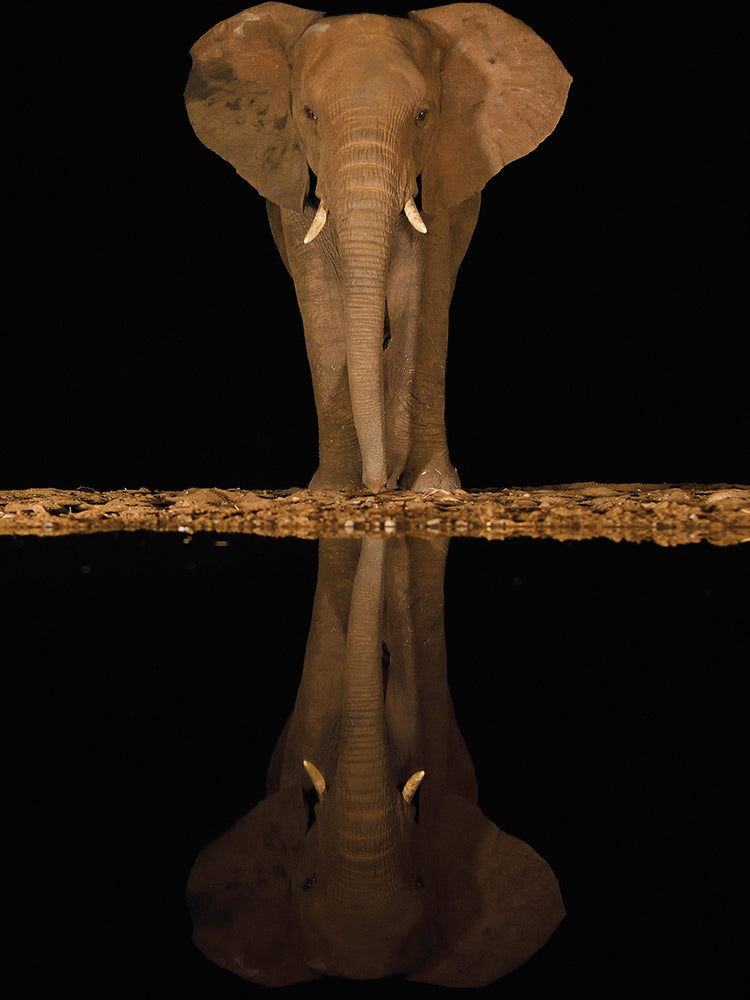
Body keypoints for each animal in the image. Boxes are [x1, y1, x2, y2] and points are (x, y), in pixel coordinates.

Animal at [184, 3, 571, 493]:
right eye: (308, 114)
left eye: (423, 115)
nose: (381, 482)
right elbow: (320, 299)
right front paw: (335, 489)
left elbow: (423, 289)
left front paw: (432, 486)